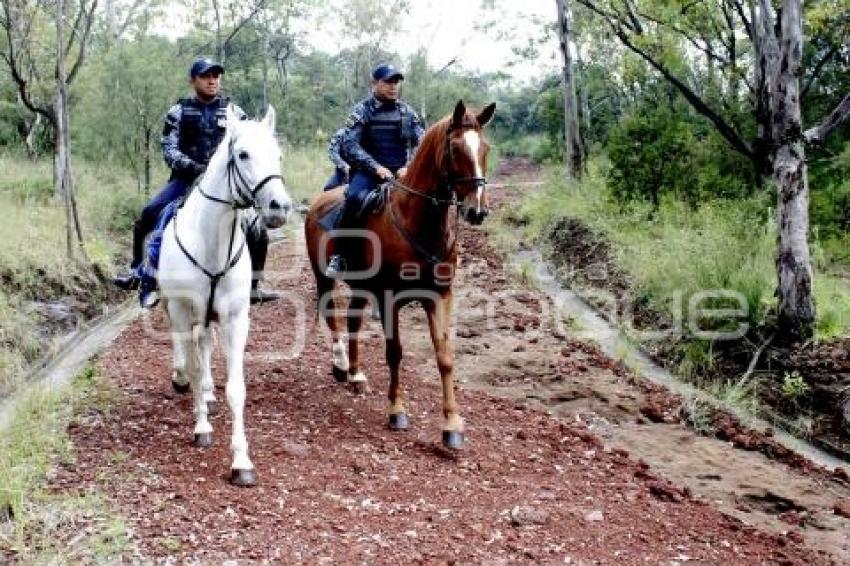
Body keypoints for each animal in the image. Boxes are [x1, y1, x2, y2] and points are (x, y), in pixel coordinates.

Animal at [158, 106, 292, 488]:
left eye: (278, 155)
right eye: (243, 154)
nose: (279, 207)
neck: (211, 243)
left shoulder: (234, 320)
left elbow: (236, 388)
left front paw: (241, 461)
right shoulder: (183, 310)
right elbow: (191, 362)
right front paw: (201, 427)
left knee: (204, 350)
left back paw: (207, 392)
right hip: (176, 311)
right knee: (185, 351)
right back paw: (185, 383)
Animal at [304, 100, 494, 450]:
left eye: (485, 148)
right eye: (455, 148)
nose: (477, 211)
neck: (418, 221)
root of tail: (318, 201)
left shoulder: (440, 295)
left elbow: (445, 356)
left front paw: (452, 425)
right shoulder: (390, 298)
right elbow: (395, 353)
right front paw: (396, 410)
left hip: (362, 286)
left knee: (352, 320)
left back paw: (356, 374)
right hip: (324, 276)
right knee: (332, 315)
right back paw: (340, 366)